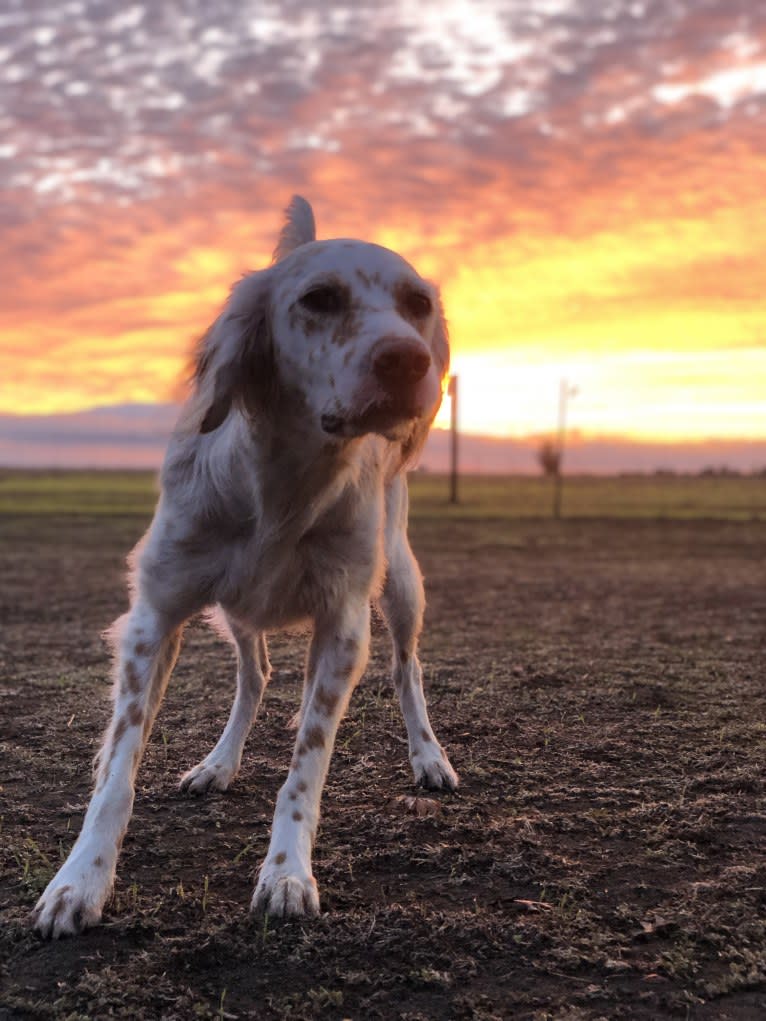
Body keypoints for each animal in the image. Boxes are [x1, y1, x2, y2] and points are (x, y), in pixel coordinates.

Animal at [32, 195, 459, 935]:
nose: (408, 361)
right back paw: (219, 762)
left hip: (401, 582)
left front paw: (287, 872)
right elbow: (117, 770)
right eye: (319, 298)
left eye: (418, 304)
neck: (283, 483)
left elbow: (305, 768)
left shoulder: (344, 626)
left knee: (406, 669)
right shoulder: (154, 617)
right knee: (254, 677)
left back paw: (428, 754)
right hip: (235, 611)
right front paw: (79, 881)